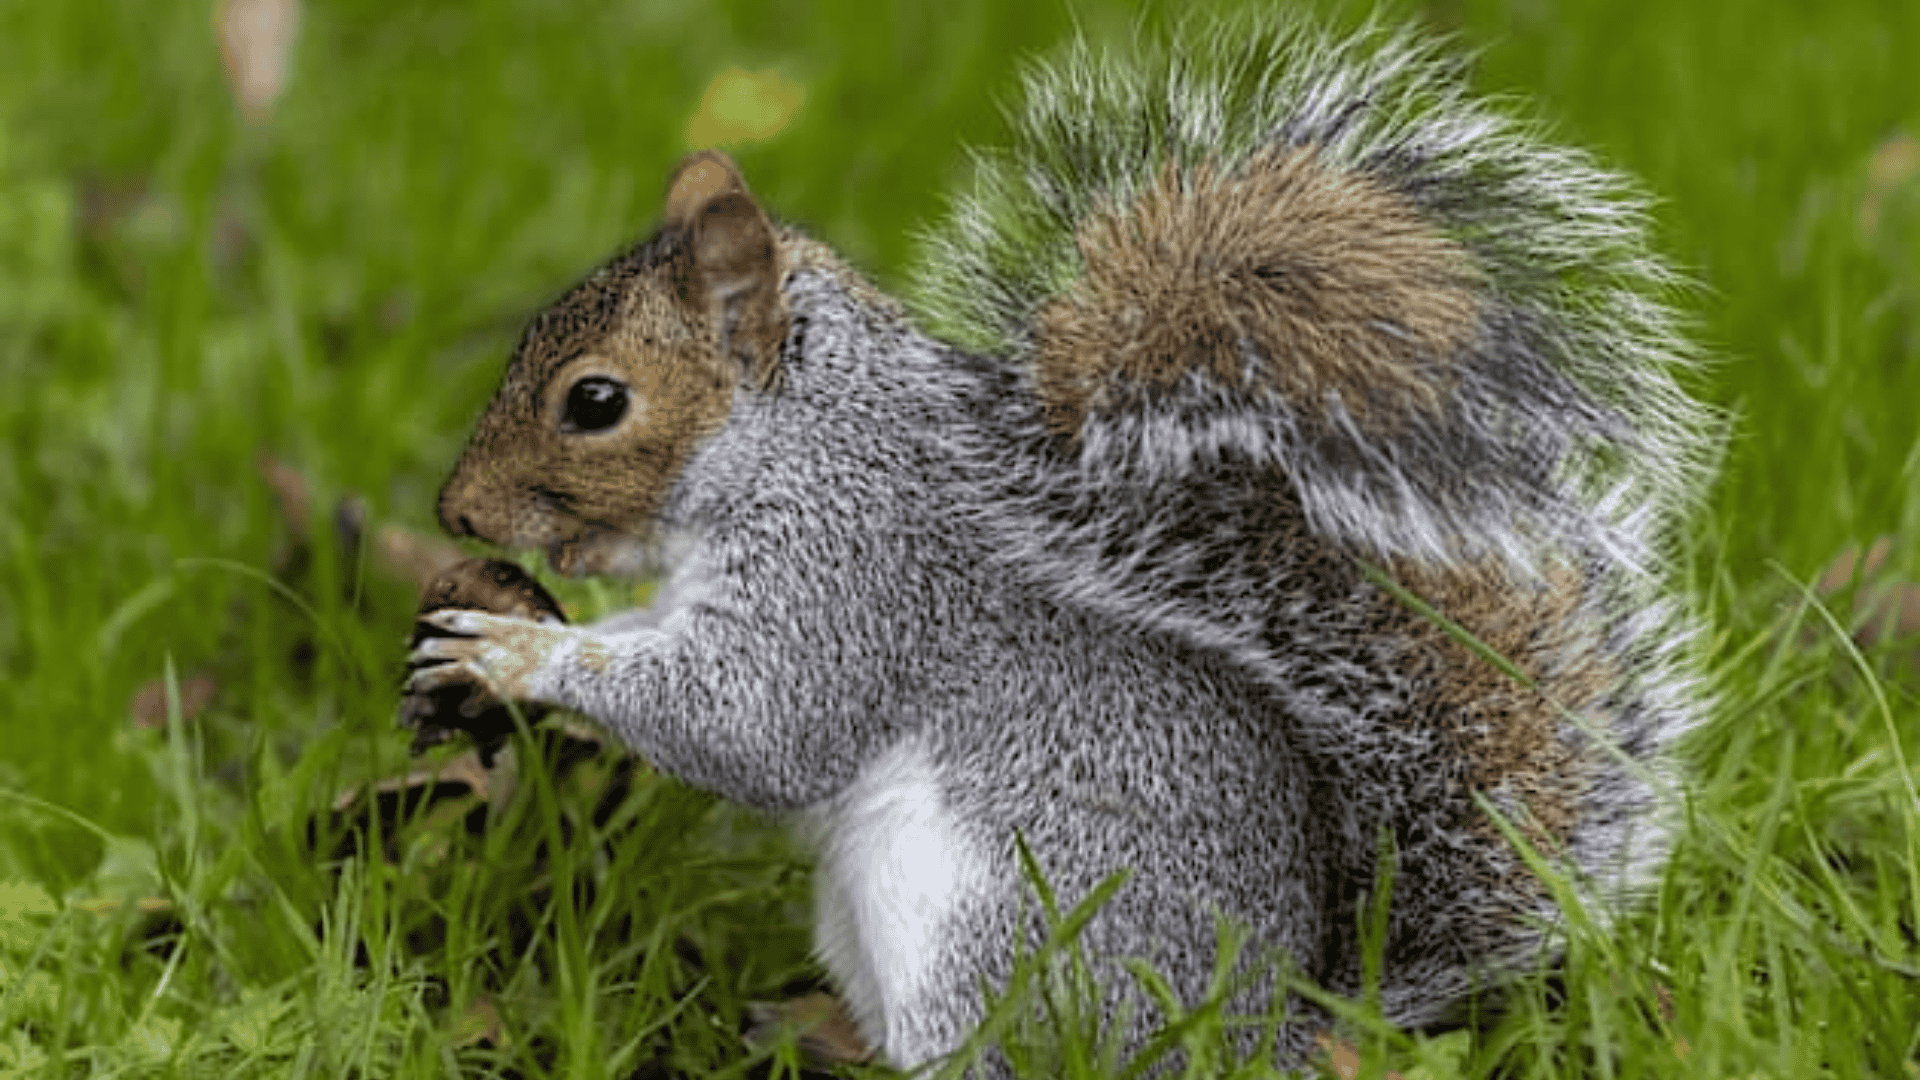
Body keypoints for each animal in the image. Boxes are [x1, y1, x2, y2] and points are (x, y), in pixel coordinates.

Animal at [405, 14, 1715, 1074]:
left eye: (595, 402)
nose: (457, 514)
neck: (797, 439)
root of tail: (1270, 1033)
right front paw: (493, 626)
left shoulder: (854, 573)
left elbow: (756, 725)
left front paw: (516, 656)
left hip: (985, 928)